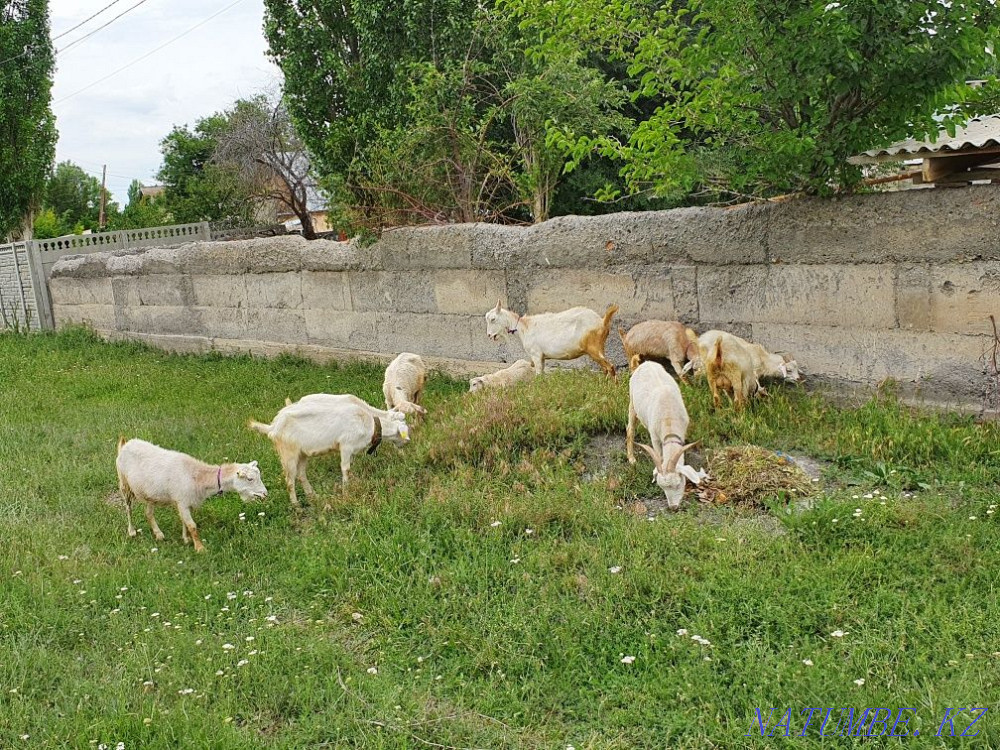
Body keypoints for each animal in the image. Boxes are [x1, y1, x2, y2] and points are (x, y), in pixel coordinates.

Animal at [116, 437, 268, 553]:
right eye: (250, 479)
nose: (265, 494)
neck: (197, 477)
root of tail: (125, 444)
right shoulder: (182, 501)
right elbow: (192, 526)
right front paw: (200, 548)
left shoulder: (185, 502)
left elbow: (184, 522)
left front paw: (186, 539)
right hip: (124, 484)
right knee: (128, 508)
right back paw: (132, 531)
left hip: (150, 493)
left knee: (148, 513)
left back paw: (159, 534)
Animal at [249, 394, 409, 506]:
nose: (406, 443)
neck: (368, 422)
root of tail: (273, 427)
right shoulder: (346, 445)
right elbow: (346, 469)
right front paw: (346, 491)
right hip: (288, 453)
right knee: (289, 480)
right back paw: (296, 506)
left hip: (302, 453)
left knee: (301, 475)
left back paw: (312, 496)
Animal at [484, 299, 618, 377]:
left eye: (493, 319)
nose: (489, 335)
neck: (524, 327)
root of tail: (602, 321)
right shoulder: (542, 357)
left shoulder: (536, 354)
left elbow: (538, 375)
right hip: (599, 348)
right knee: (606, 369)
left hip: (594, 348)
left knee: (610, 367)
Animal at [626, 361, 704, 508]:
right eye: (662, 488)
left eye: (678, 484)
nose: (673, 507)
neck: (668, 417)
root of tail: (646, 363)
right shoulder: (655, 437)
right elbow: (660, 455)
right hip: (632, 403)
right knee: (630, 429)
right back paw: (631, 459)